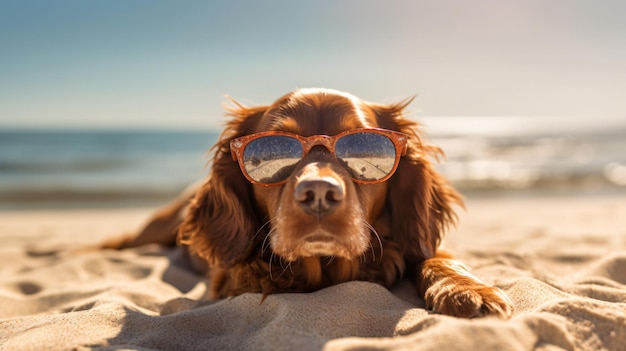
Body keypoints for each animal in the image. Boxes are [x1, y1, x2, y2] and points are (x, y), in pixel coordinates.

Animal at [103, 87, 512, 320]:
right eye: (272, 149)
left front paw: (467, 289)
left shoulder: (420, 241)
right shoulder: (229, 276)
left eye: (364, 145)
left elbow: (436, 258)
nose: (318, 193)